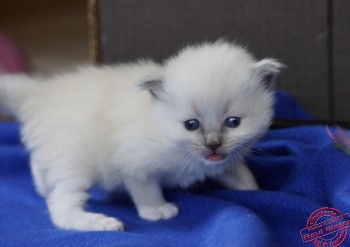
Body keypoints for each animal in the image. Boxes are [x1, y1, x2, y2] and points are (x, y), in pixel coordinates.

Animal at [0, 41, 282, 231]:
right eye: (191, 125)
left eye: (233, 123)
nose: (213, 145)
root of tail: (38, 93)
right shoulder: (133, 164)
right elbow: (146, 190)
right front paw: (157, 211)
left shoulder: (225, 162)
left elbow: (243, 177)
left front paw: (255, 191)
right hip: (74, 162)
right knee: (61, 207)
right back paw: (100, 223)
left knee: (40, 170)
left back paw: (42, 186)